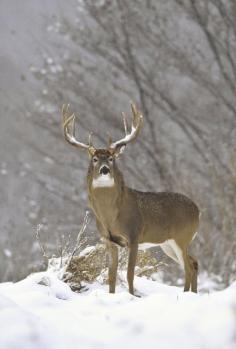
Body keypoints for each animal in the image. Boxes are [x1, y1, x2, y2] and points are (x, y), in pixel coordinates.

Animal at [61, 102, 200, 294]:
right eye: (95, 159)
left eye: (111, 158)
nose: (105, 169)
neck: (111, 217)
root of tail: (198, 210)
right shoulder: (108, 240)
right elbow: (111, 276)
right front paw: (112, 295)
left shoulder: (134, 236)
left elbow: (129, 274)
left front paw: (132, 296)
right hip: (168, 244)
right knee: (194, 262)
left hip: (182, 236)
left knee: (188, 267)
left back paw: (186, 294)